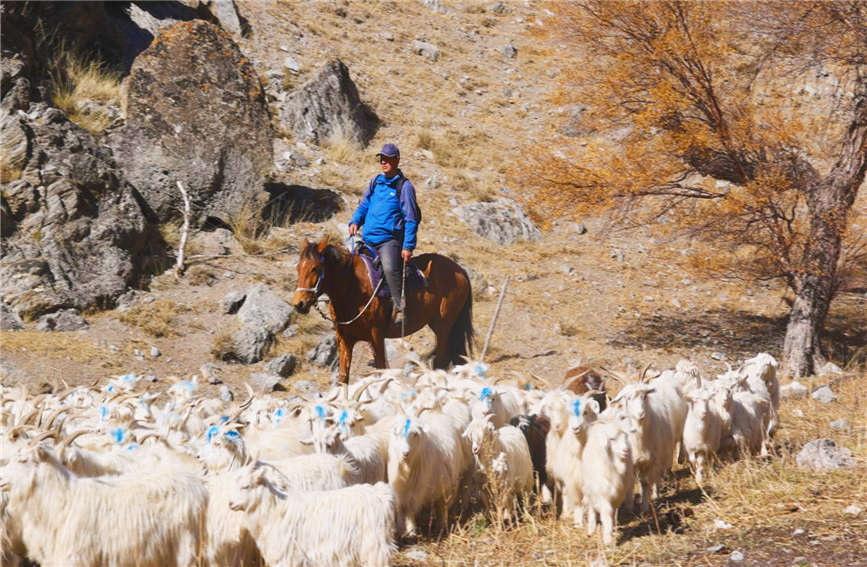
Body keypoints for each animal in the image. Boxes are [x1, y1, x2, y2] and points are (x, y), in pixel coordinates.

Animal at [292, 237, 474, 388]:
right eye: (298, 268)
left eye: (315, 268)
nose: (299, 304)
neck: (353, 288)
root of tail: (460, 270)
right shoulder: (344, 339)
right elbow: (343, 378)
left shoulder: (376, 336)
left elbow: (381, 371)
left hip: (443, 326)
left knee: (441, 360)